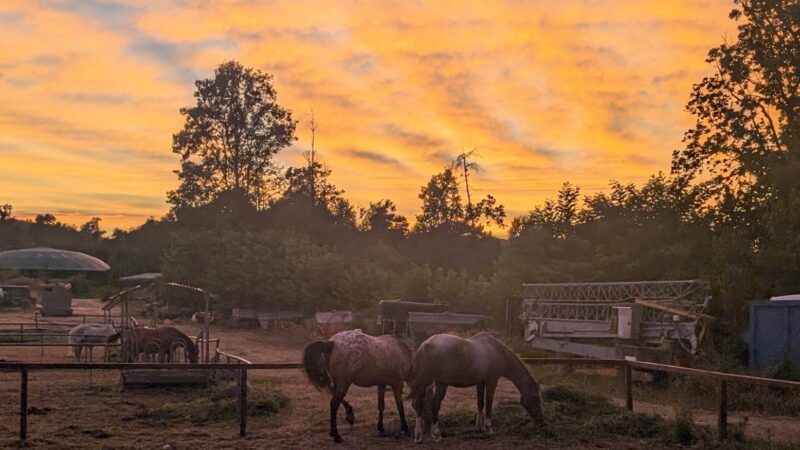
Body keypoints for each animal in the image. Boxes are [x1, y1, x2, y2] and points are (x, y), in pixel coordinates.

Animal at [406, 332, 544, 442]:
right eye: (535, 398)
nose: (541, 423)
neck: (496, 351)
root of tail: (426, 345)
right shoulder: (491, 382)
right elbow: (488, 404)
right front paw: (489, 428)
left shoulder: (480, 383)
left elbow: (480, 403)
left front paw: (479, 427)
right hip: (441, 384)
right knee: (434, 404)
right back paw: (437, 434)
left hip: (426, 383)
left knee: (419, 404)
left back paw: (418, 435)